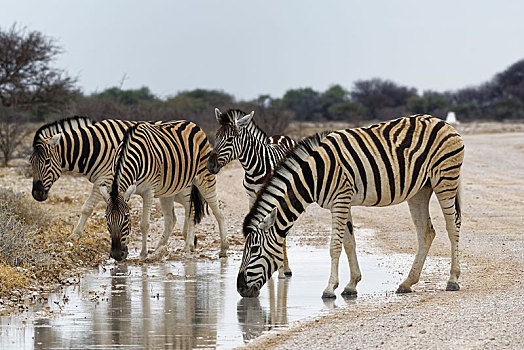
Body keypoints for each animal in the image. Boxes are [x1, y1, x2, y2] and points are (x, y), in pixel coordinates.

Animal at [30, 116, 217, 256]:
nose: (37, 194)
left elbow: (87, 208)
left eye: (47, 162)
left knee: (190, 208)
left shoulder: (105, 179)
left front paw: (75, 235)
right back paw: (183, 242)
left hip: (185, 184)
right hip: (170, 188)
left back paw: (189, 242)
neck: (94, 147)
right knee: (178, 214)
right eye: (31, 162)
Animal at [100, 120, 227, 260]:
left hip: (203, 178)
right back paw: (161, 247)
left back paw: (217, 248)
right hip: (170, 190)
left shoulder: (148, 191)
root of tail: (192, 124)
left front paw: (143, 254)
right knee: (173, 218)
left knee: (213, 210)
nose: (117, 254)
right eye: (106, 218)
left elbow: (144, 224)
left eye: (126, 218)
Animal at [206, 108, 296, 278]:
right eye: (216, 136)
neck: (255, 169)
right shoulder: (251, 197)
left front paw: (280, 268)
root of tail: (282, 135)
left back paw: (286, 268)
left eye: (230, 139)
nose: (210, 166)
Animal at [237, 115, 462, 298]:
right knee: (426, 232)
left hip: (444, 179)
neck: (314, 175)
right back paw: (407, 283)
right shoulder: (341, 203)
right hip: (420, 190)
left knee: (453, 226)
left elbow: (335, 247)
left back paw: (453, 280)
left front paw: (329, 289)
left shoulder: (340, 200)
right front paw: (351, 285)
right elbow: (349, 243)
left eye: (254, 249)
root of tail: (443, 122)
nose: (240, 288)